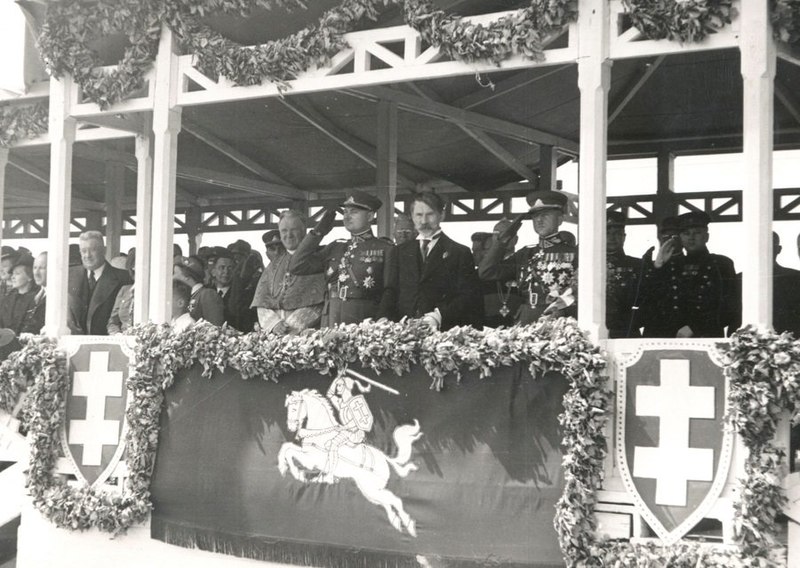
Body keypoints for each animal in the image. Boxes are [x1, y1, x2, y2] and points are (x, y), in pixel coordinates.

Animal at [276, 388, 422, 536]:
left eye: (294, 408)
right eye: (288, 407)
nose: (290, 428)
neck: (320, 433)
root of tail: (384, 458)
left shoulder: (310, 460)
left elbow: (289, 452)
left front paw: (297, 474)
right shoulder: (305, 454)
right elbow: (286, 447)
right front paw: (283, 467)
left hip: (371, 488)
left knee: (395, 501)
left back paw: (409, 526)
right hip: (370, 491)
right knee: (387, 503)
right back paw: (396, 522)